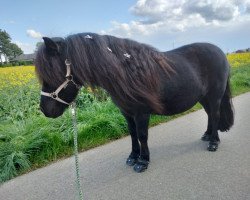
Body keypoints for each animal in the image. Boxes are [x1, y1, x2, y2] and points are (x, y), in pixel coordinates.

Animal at [35, 32, 234, 172]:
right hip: (203, 97)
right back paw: (207, 135)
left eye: (51, 74)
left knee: (215, 115)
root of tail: (220, 52)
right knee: (210, 115)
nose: (45, 110)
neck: (126, 73)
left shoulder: (141, 113)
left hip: (215, 96)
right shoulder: (127, 112)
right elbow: (132, 134)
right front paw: (133, 156)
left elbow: (142, 135)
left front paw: (143, 161)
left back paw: (213, 142)